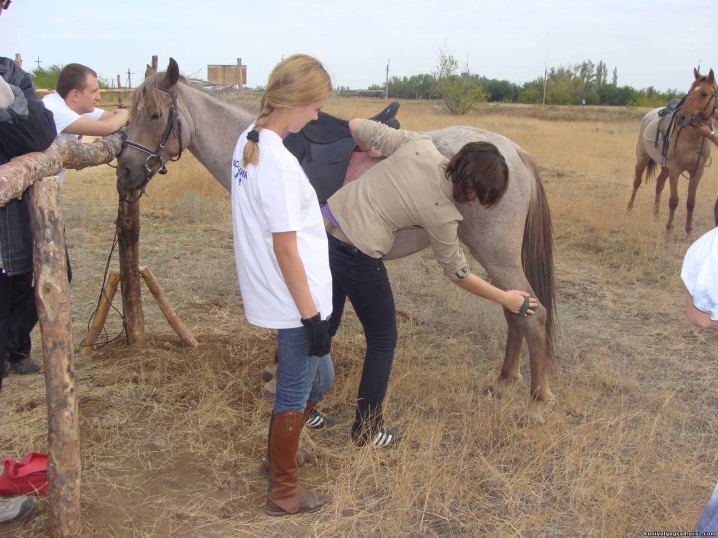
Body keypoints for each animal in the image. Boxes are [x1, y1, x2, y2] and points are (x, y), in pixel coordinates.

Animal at [115, 57, 560, 418]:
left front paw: (281, 375)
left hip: (497, 254)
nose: (125, 172)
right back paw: (504, 381)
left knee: (533, 314)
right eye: (128, 114)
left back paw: (537, 403)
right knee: (515, 309)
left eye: (154, 114)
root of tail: (516, 154)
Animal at [628, 68, 716, 232]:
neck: (693, 136)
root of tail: (648, 115)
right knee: (637, 182)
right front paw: (669, 229)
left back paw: (655, 214)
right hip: (643, 158)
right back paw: (629, 209)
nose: (681, 117)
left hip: (666, 167)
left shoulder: (697, 171)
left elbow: (691, 202)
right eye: (690, 91)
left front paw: (688, 231)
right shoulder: (676, 168)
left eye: (704, 94)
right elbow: (674, 200)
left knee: (659, 184)